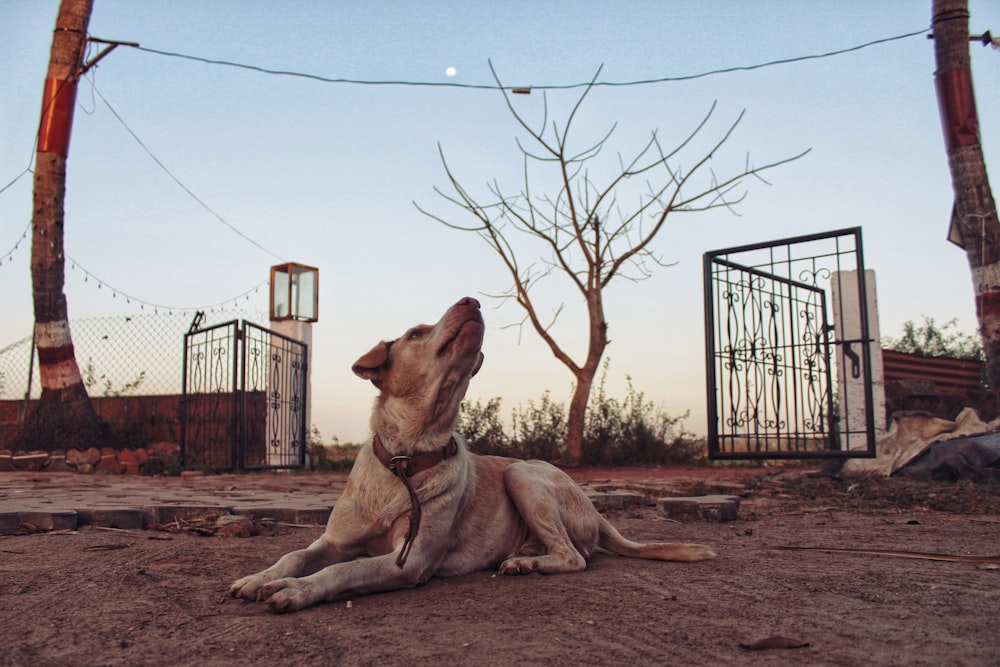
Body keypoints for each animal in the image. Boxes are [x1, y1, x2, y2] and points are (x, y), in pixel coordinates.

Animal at [229, 298, 712, 616]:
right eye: (415, 333)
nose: (472, 299)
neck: (405, 461)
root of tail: (594, 510)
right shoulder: (332, 541)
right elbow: (295, 555)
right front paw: (260, 577)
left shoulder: (411, 559)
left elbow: (345, 572)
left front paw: (295, 589)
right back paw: (525, 557)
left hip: (523, 474)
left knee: (576, 556)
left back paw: (527, 563)